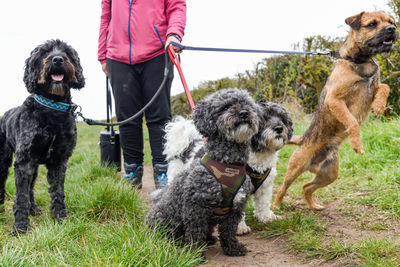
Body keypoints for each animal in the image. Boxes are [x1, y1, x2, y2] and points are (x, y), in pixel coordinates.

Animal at [0, 39, 84, 234]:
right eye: (44, 52)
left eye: (67, 52)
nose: (58, 59)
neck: (52, 107)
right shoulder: (24, 160)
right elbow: (21, 195)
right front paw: (21, 226)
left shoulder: (59, 159)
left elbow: (58, 191)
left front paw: (60, 216)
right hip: (3, 161)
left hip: (35, 166)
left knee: (31, 186)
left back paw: (33, 209)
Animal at [146, 89, 260, 256]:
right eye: (225, 107)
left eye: (247, 104)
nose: (244, 113)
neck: (228, 164)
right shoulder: (196, 205)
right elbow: (195, 232)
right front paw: (194, 254)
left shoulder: (235, 208)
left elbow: (229, 231)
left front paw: (233, 248)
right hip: (164, 218)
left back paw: (209, 239)